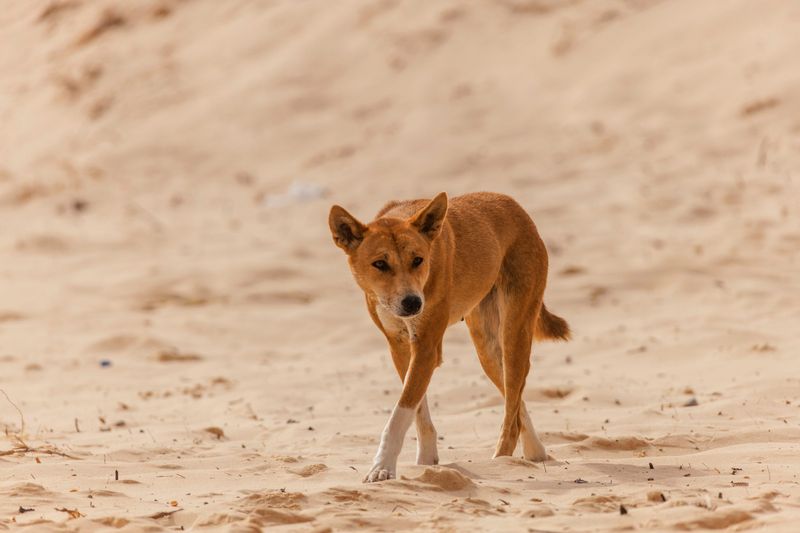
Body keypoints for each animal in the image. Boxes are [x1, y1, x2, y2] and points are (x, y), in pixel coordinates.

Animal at [328, 192, 572, 482]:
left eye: (418, 260)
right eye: (380, 264)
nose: (413, 303)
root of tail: (515, 206)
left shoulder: (426, 347)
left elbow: (400, 414)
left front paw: (382, 467)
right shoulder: (400, 347)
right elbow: (417, 410)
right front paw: (426, 461)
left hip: (514, 334)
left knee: (511, 412)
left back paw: (502, 461)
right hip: (487, 350)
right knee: (514, 402)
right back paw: (536, 453)